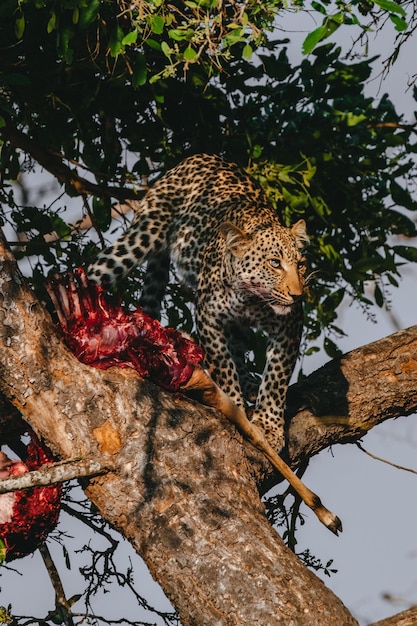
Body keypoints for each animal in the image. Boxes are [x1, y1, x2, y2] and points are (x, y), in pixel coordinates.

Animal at [87, 154, 308, 450]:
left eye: (301, 265)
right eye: (274, 263)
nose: (298, 295)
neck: (251, 299)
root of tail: (200, 157)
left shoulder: (289, 325)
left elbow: (275, 379)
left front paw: (270, 426)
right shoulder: (208, 316)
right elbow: (224, 367)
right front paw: (235, 408)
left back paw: (250, 383)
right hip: (142, 235)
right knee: (96, 269)